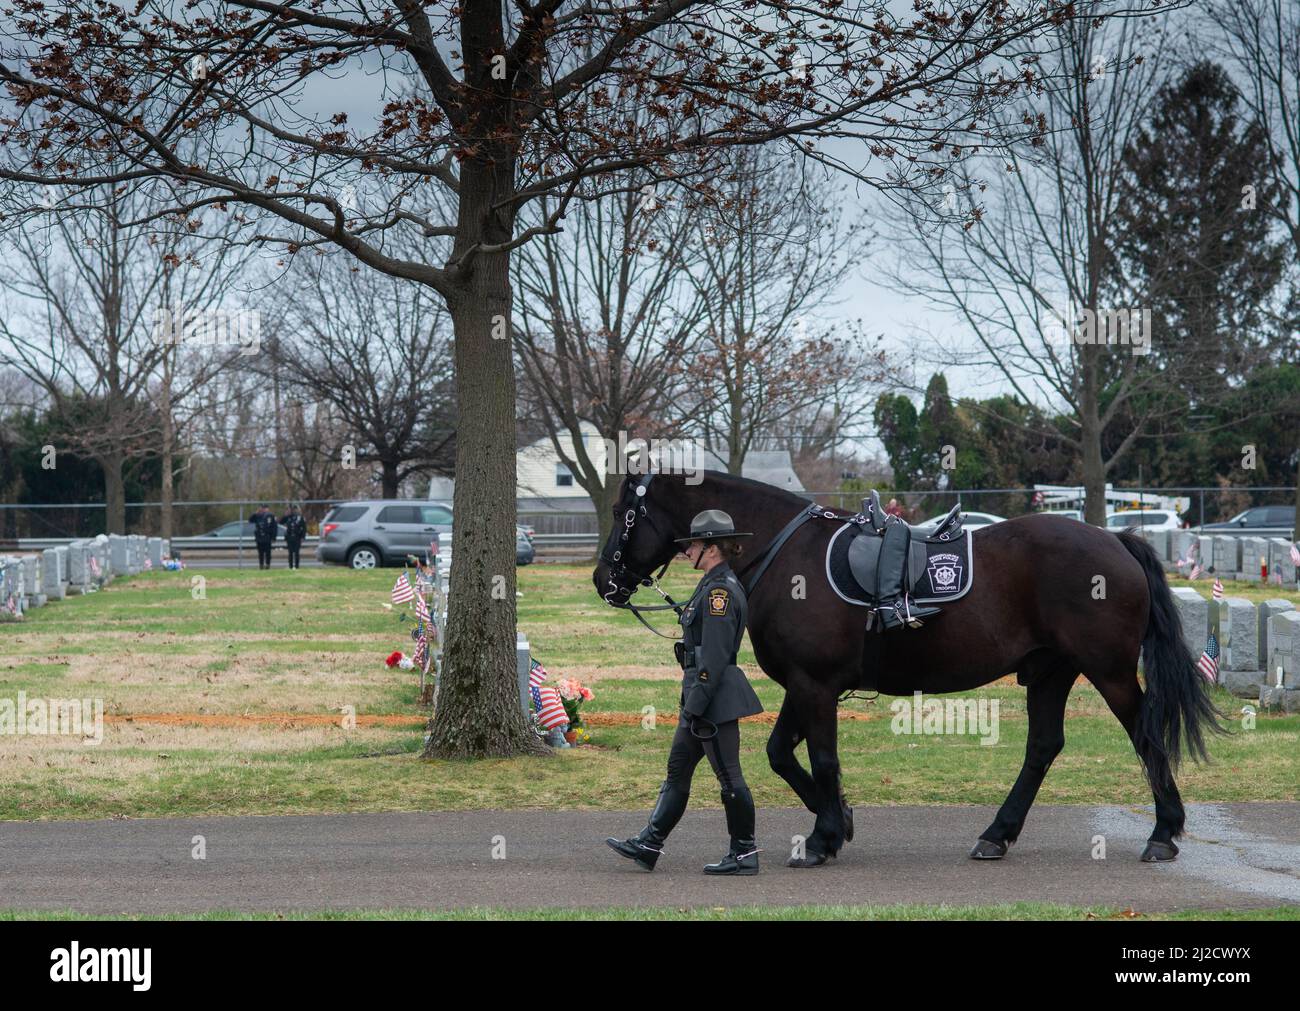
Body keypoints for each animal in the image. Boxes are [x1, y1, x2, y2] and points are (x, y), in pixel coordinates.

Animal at [593, 469, 1222, 867]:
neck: (786, 552)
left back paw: (1163, 833)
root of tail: (1115, 541)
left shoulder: (815, 685)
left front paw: (823, 838)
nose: (604, 580)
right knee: (1043, 747)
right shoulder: (805, 685)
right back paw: (996, 835)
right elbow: (780, 755)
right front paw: (839, 819)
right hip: (1050, 673)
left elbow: (820, 758)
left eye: (626, 511)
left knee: (1144, 736)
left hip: (1108, 671)